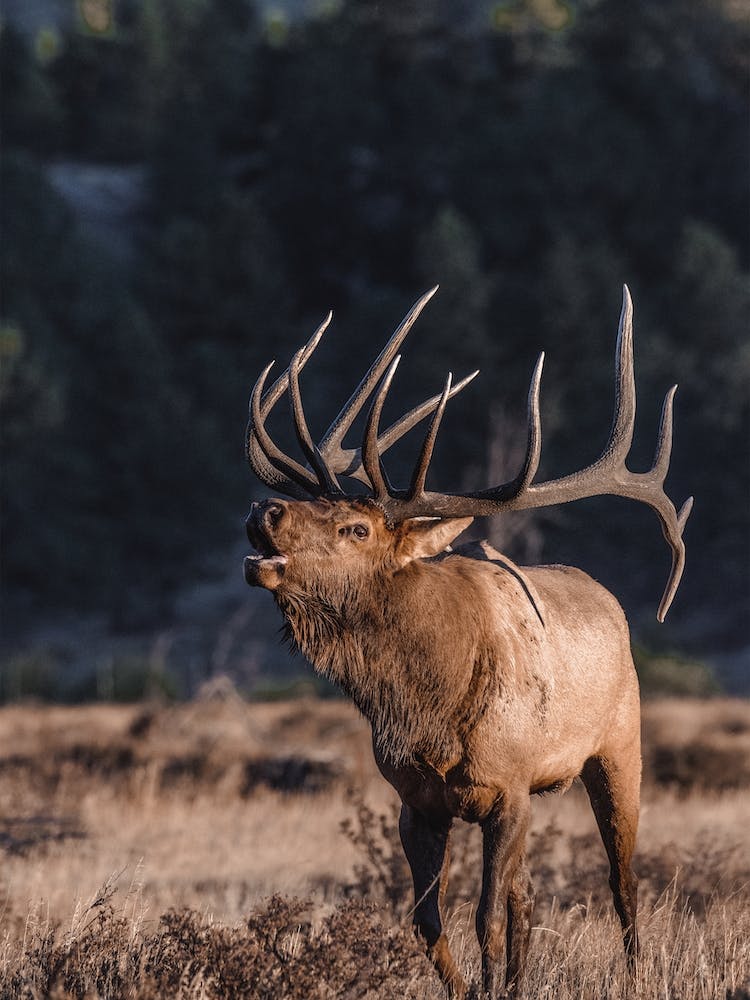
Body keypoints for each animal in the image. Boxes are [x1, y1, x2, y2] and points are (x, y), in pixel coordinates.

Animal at [242, 285, 692, 998]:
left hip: (620, 747)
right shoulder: (418, 800)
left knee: (622, 881)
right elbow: (428, 920)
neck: (428, 706)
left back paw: (636, 975)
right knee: (529, 895)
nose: (265, 509)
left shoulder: (506, 790)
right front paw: (473, 987)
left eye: (356, 529)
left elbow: (485, 917)